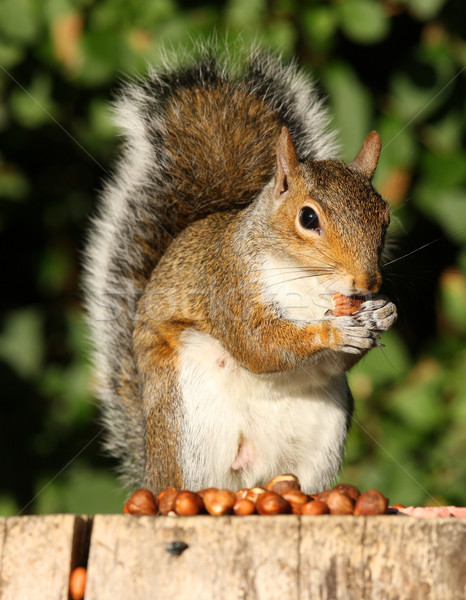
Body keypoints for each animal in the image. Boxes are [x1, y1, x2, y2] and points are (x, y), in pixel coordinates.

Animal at [83, 47, 396, 494]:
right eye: (308, 218)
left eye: (385, 218)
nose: (368, 281)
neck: (309, 286)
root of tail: (152, 474)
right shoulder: (227, 285)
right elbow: (258, 345)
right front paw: (333, 331)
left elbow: (336, 361)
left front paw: (384, 312)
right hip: (187, 424)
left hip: (321, 437)